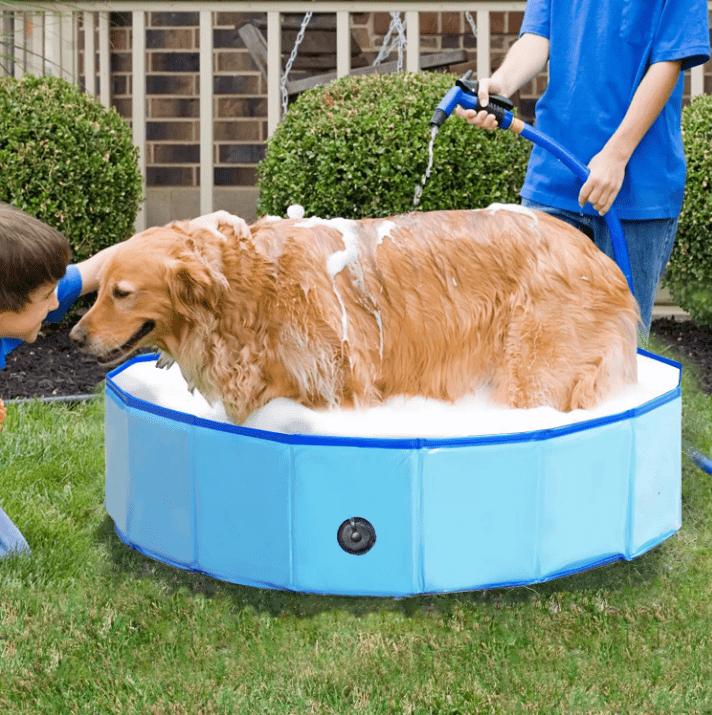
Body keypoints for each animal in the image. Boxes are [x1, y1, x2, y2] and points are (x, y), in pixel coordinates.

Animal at [71, 207, 640, 422]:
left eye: (122, 293)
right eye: (97, 291)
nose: (74, 337)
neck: (252, 289)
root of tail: (600, 257)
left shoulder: (342, 389)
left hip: (533, 371)